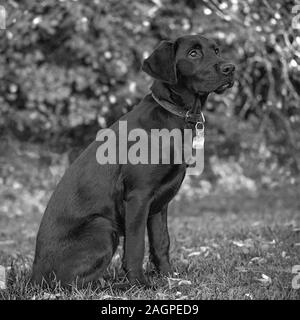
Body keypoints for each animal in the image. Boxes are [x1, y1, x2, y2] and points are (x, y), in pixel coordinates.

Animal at [31, 34, 236, 288]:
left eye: (216, 50)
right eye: (193, 53)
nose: (231, 68)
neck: (174, 116)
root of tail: (34, 276)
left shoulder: (159, 202)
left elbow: (161, 242)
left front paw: (168, 276)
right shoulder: (138, 196)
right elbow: (136, 246)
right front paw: (140, 283)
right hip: (102, 226)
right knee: (72, 283)